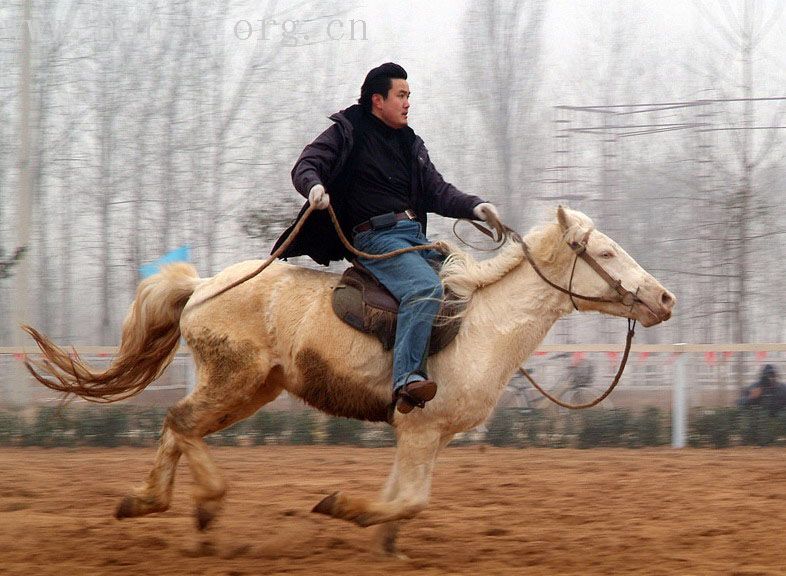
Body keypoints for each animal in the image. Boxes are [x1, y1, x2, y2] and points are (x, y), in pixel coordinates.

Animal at [24, 205, 672, 556]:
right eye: (605, 254)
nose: (664, 298)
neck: (483, 323)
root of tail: (202, 285)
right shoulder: (422, 428)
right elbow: (408, 499)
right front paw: (341, 507)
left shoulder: (425, 435)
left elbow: (402, 501)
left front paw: (384, 543)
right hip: (235, 380)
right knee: (180, 423)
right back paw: (203, 504)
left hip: (250, 388)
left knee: (178, 427)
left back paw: (150, 502)